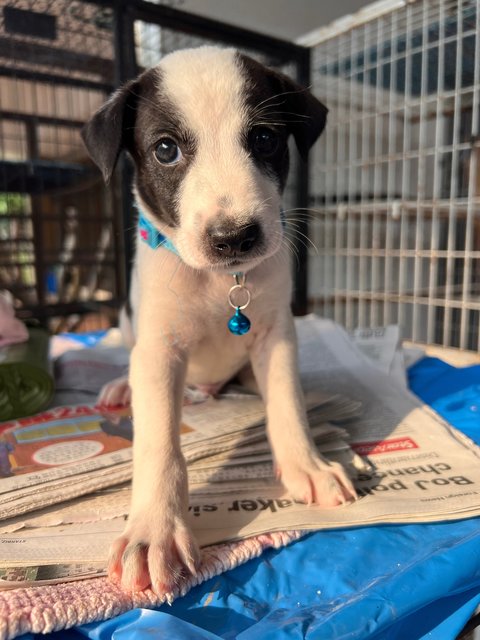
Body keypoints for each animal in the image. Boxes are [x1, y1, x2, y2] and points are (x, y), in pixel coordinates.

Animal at [81, 46, 356, 596]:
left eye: (264, 138)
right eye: (166, 150)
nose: (235, 237)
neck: (217, 281)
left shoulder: (276, 335)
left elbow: (288, 406)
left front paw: (307, 464)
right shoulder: (159, 350)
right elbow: (159, 444)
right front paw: (154, 531)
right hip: (127, 324)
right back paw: (120, 387)